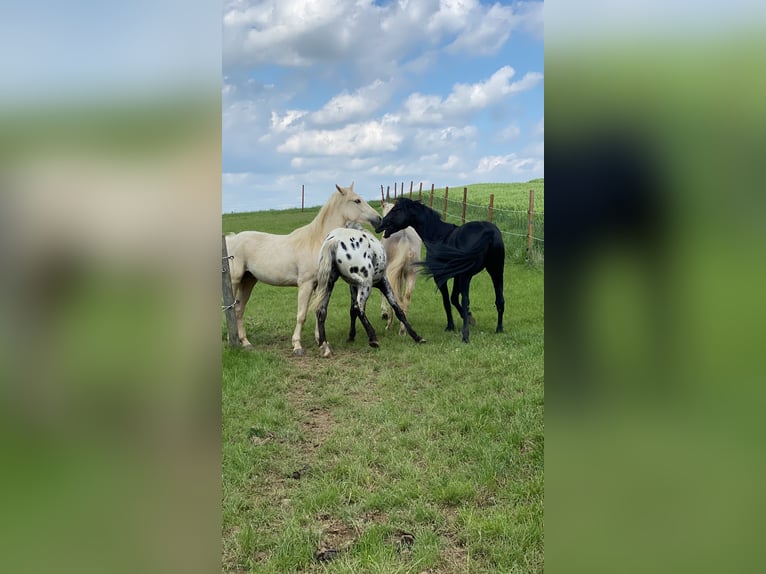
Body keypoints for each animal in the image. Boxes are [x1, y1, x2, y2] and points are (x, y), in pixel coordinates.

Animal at [225, 183, 382, 355]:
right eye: (357, 200)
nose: (379, 219)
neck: (316, 241)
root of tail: (231, 239)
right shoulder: (305, 284)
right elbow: (301, 315)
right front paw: (297, 346)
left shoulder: (319, 285)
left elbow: (317, 311)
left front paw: (322, 343)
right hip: (235, 281)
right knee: (231, 310)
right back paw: (231, 340)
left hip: (248, 281)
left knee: (239, 310)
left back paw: (245, 342)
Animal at [313, 225, 425, 357]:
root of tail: (334, 240)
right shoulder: (383, 282)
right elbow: (397, 309)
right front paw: (416, 336)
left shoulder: (353, 287)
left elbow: (352, 311)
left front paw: (351, 337)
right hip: (366, 285)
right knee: (359, 308)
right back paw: (373, 339)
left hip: (329, 285)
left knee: (322, 310)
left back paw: (324, 345)